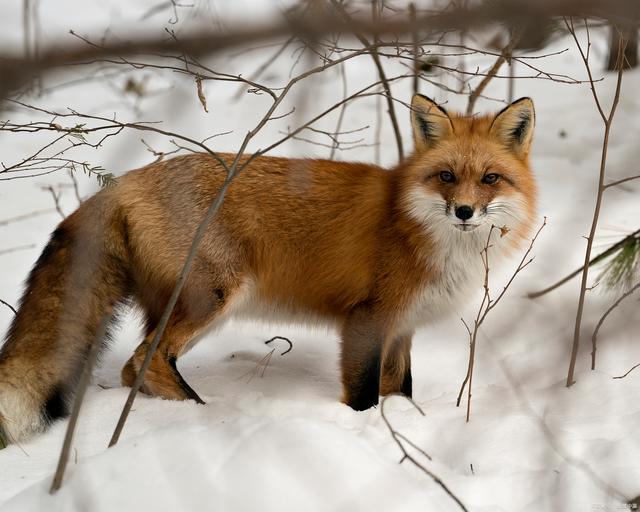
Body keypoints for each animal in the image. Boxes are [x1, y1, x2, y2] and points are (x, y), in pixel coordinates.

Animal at [0, 95, 536, 444]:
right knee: (146, 359)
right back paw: (202, 416)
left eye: (490, 179)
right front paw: (367, 432)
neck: (417, 228)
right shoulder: (366, 321)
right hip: (212, 297)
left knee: (136, 367)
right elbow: (363, 396)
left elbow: (399, 390)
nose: (464, 211)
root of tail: (124, 181)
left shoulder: (402, 328)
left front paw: (403, 421)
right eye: (446, 176)